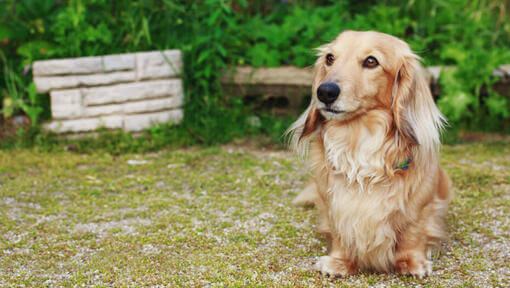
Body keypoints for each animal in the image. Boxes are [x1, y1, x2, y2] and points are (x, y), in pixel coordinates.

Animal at [288, 30, 452, 278]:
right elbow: (339, 231)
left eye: (371, 61)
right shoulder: (335, 204)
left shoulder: (421, 206)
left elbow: (412, 234)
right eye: (330, 58)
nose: (324, 92)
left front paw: (412, 262)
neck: (358, 139)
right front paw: (339, 261)